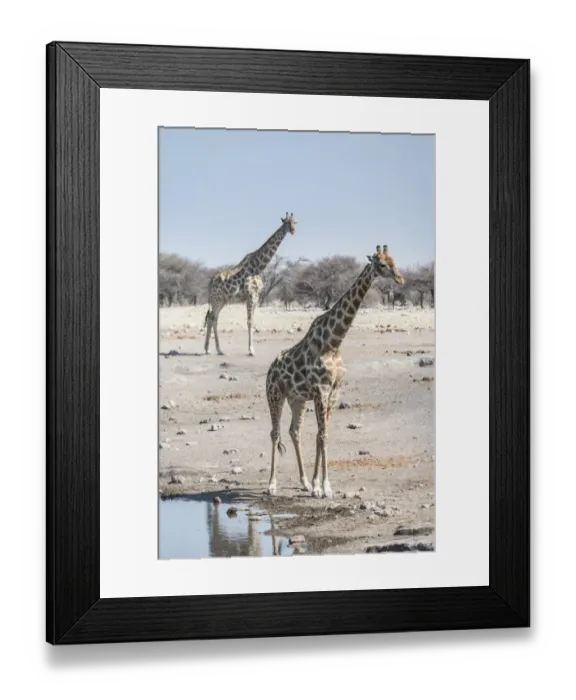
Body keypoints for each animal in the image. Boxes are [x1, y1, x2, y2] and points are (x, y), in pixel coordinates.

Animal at [203, 213, 296, 356]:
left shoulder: (256, 298)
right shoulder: (251, 296)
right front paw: (251, 350)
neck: (258, 267)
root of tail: (210, 282)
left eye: (294, 222)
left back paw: (212, 349)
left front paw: (251, 349)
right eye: (286, 222)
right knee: (212, 318)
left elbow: (253, 321)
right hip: (216, 300)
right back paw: (215, 349)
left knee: (213, 318)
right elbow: (249, 322)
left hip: (221, 300)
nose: (292, 230)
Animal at [265, 244, 405, 499]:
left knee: (294, 431)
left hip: (297, 399)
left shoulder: (334, 392)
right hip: (275, 395)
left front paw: (317, 485)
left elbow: (322, 435)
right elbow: (323, 435)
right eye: (381, 264)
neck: (334, 342)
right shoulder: (321, 390)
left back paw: (303, 482)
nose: (400, 279)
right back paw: (271, 485)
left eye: (394, 261)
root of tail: (270, 370)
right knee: (275, 433)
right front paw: (325, 487)